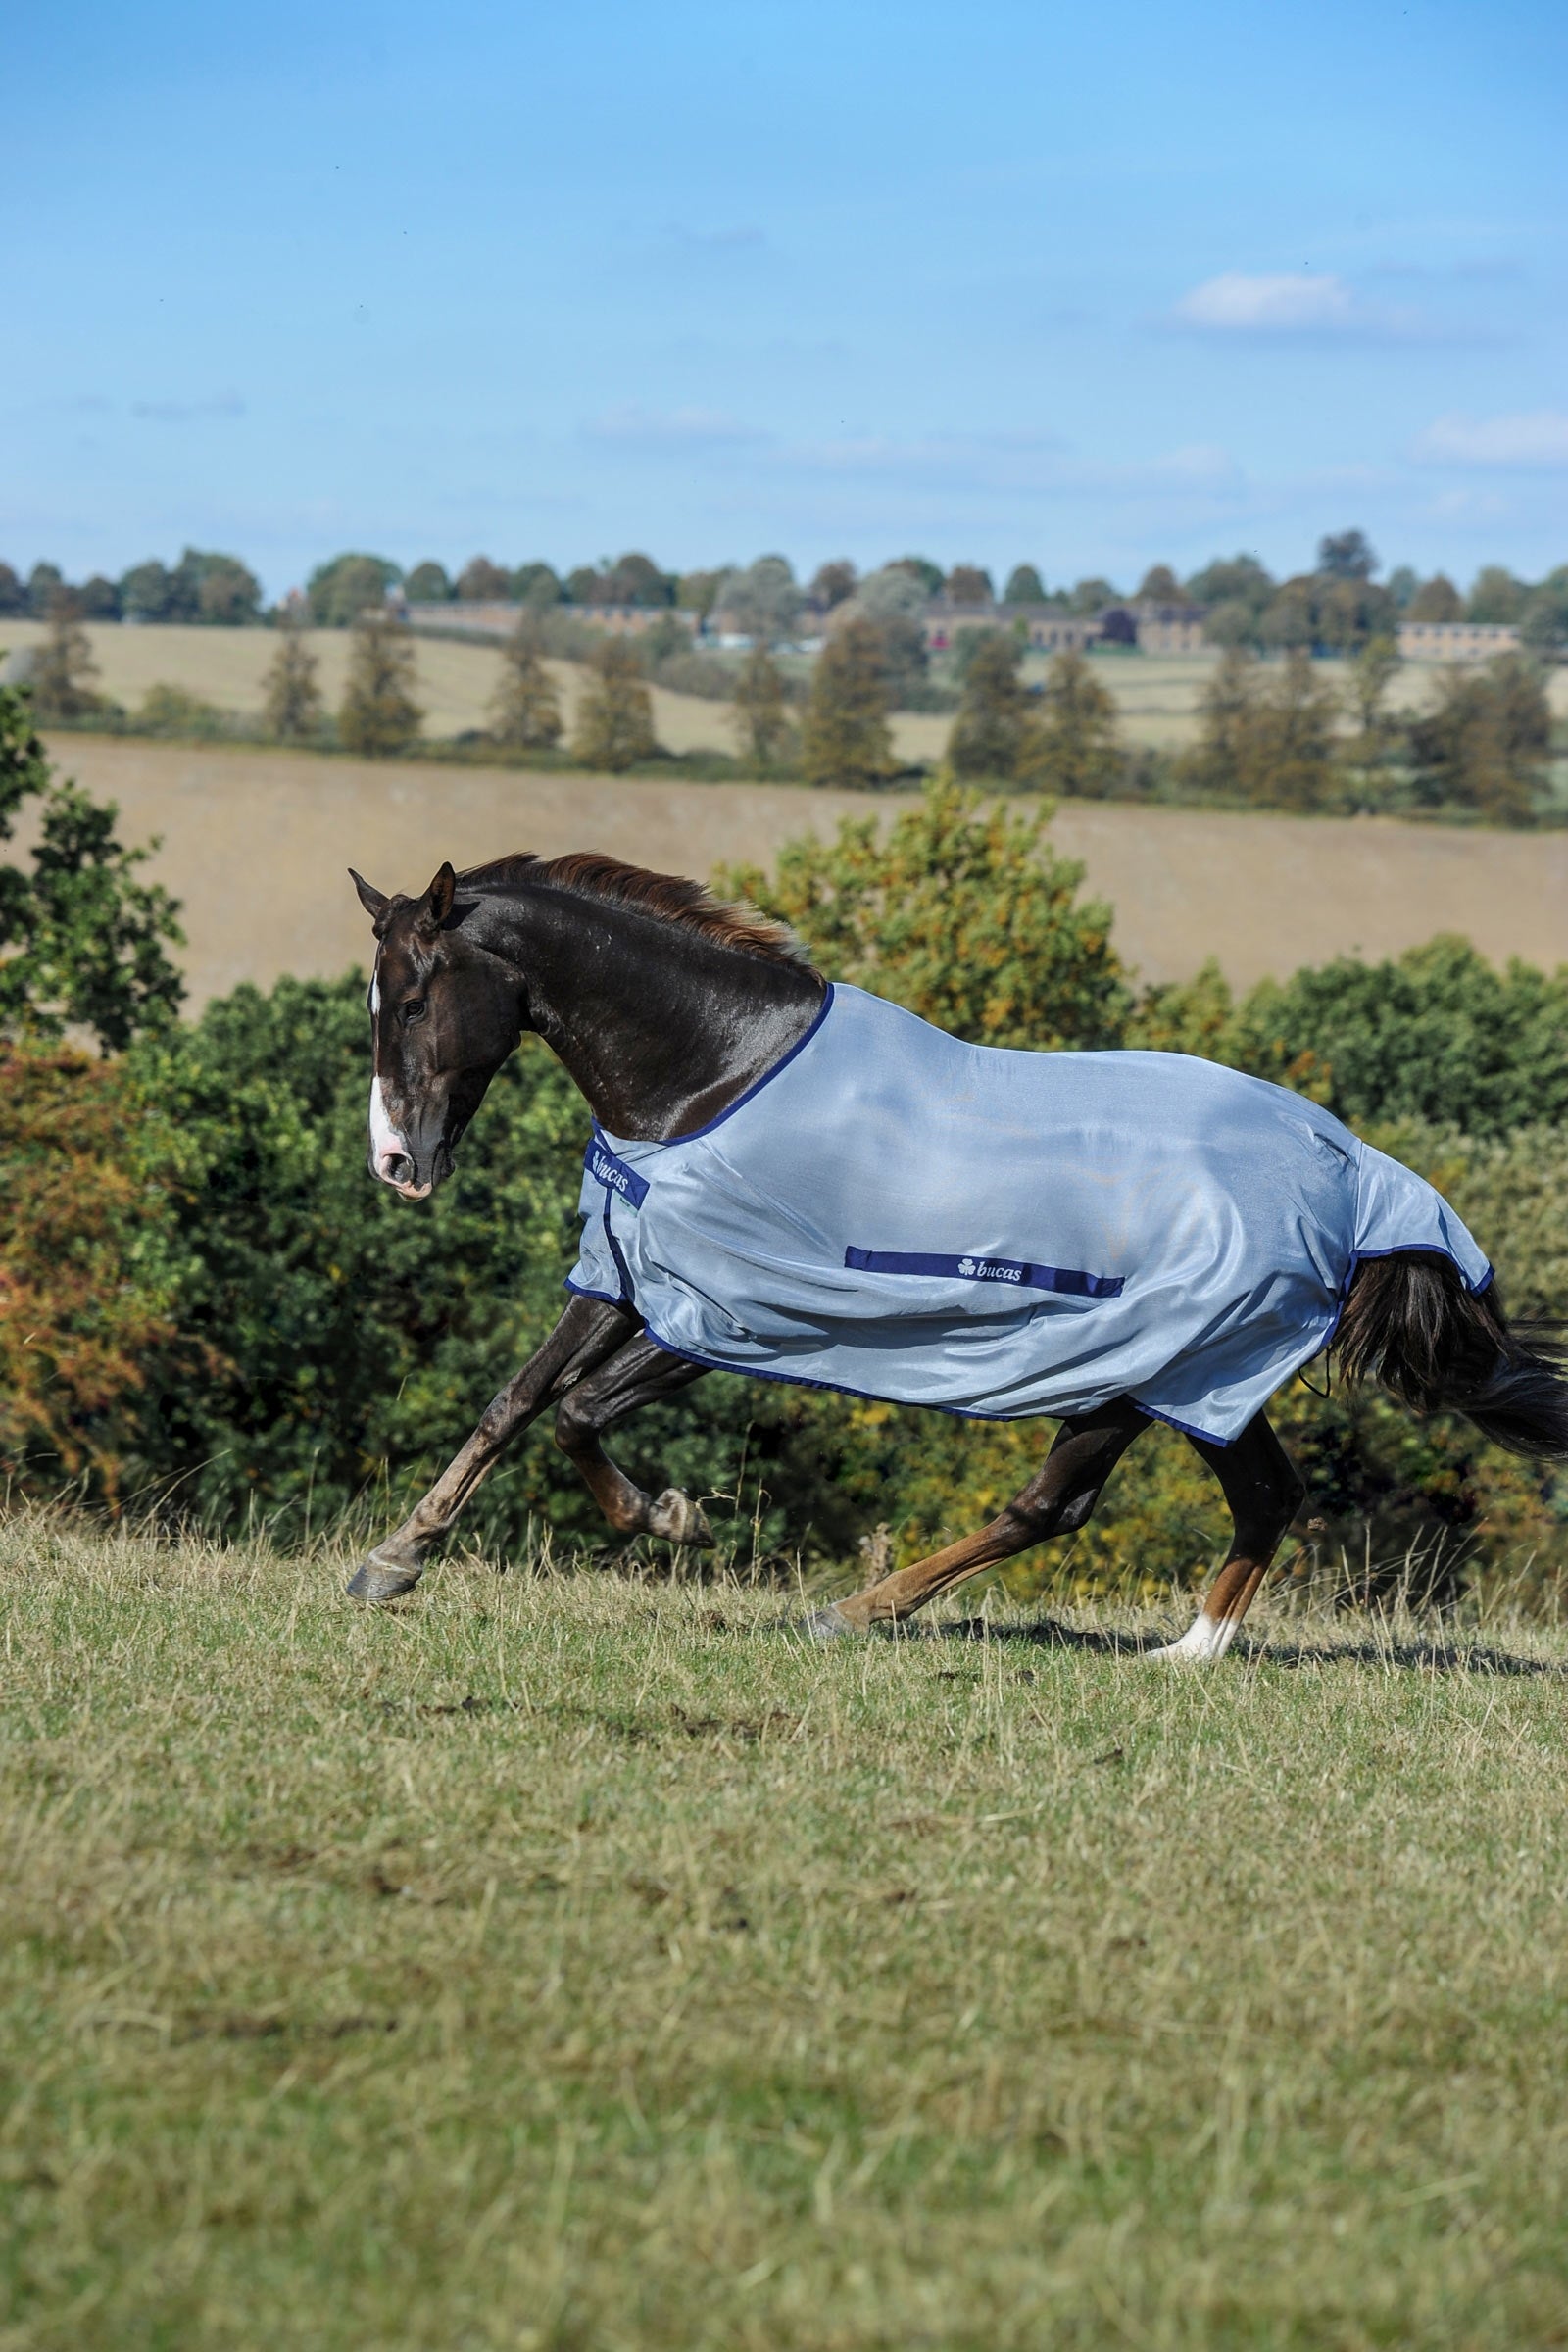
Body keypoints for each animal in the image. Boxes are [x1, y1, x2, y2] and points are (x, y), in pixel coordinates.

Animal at [345, 852, 1568, 1658]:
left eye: (411, 998)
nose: (398, 1161)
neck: (714, 1075)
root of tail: (1355, 1173)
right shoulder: (631, 1276)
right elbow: (516, 1403)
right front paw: (392, 1561)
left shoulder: (737, 1315)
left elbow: (579, 1413)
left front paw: (671, 1519)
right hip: (1201, 1377)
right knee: (1265, 1494)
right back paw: (1186, 1654)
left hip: (1133, 1371)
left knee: (1052, 1507)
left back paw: (854, 1611)